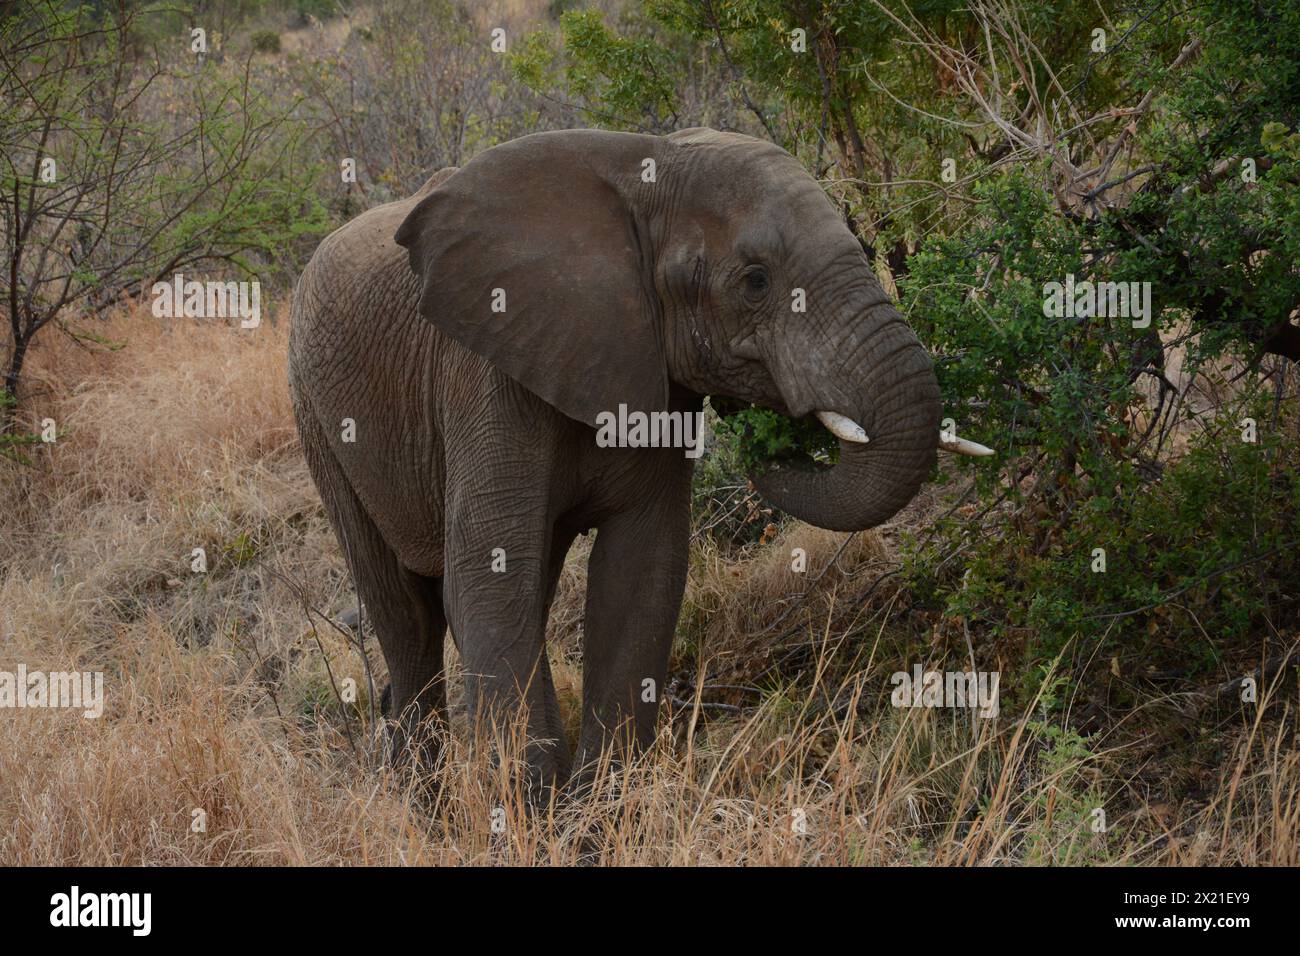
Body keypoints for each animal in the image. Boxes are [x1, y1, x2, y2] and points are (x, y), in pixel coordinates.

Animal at [288, 127, 988, 794]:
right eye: (756, 281)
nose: (766, 421)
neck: (649, 167)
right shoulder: (485, 378)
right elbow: (491, 575)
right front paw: (528, 809)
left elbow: (641, 572)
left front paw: (599, 804)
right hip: (315, 411)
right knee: (404, 611)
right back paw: (419, 797)